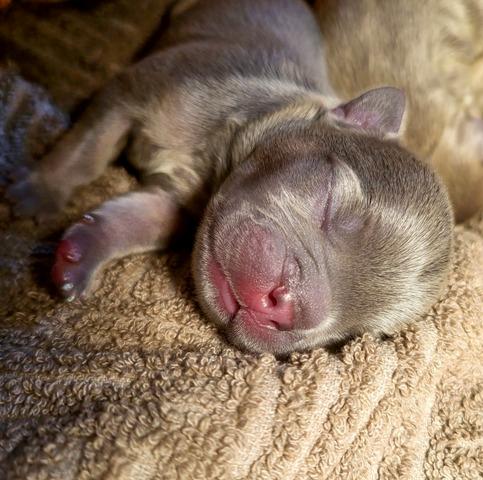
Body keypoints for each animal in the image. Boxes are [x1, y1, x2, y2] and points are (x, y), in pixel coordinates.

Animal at [6, 0, 454, 354]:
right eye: (330, 200)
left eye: (351, 334)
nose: (286, 306)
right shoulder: (137, 90)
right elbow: (88, 152)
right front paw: (40, 192)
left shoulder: (174, 205)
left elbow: (135, 220)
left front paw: (82, 253)